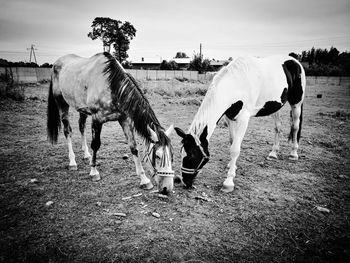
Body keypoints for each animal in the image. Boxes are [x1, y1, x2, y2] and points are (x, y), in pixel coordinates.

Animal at [46, 52, 175, 196]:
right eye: (157, 156)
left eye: (172, 156)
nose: (167, 188)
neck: (112, 85)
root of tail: (57, 63)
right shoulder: (97, 119)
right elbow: (96, 145)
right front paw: (94, 172)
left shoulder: (125, 119)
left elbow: (134, 148)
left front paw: (144, 180)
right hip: (62, 104)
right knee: (67, 131)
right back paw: (72, 162)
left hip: (82, 109)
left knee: (81, 127)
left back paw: (86, 155)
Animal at [175, 54, 306, 193]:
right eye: (181, 153)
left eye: (192, 156)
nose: (185, 182)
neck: (236, 83)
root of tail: (295, 60)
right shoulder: (230, 118)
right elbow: (232, 142)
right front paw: (232, 166)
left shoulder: (243, 119)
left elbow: (235, 149)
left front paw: (228, 182)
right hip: (275, 106)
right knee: (277, 128)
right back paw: (273, 153)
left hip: (296, 104)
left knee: (295, 127)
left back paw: (293, 153)